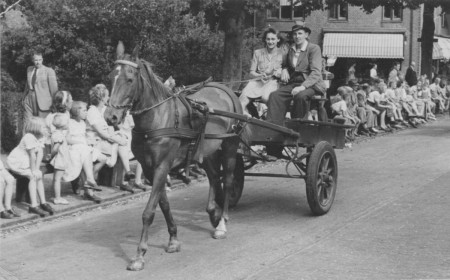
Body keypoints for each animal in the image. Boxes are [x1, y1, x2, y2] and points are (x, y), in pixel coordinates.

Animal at [103, 42, 248, 272]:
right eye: (111, 77)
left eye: (129, 79)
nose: (111, 117)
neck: (157, 118)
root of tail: (227, 90)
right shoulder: (150, 168)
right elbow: (163, 204)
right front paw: (173, 239)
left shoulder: (162, 166)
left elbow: (149, 211)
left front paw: (139, 254)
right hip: (206, 150)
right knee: (214, 177)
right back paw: (213, 213)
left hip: (229, 146)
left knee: (228, 179)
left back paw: (222, 222)